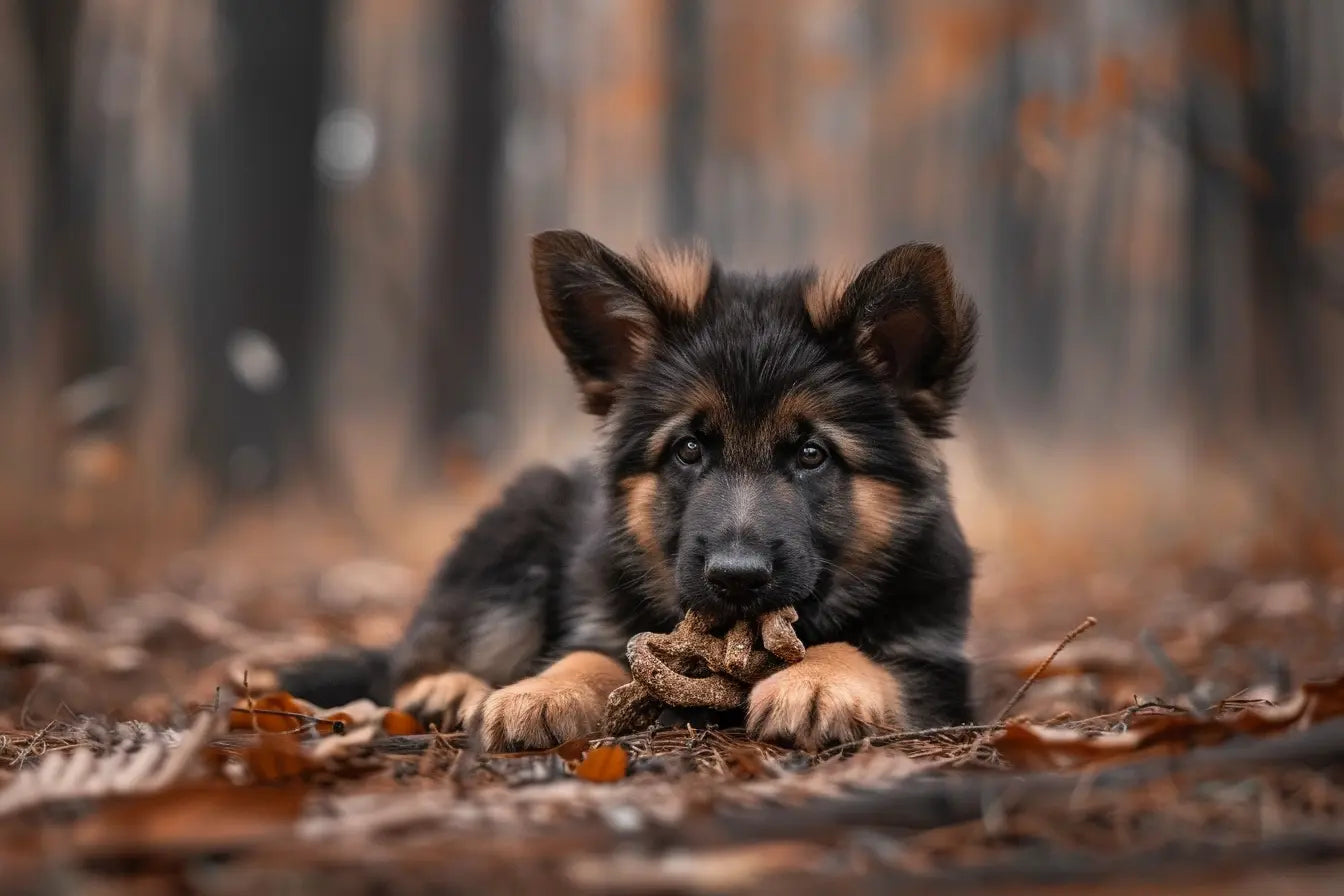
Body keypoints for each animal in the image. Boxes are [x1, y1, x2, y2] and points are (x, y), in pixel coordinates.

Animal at [280, 229, 978, 752]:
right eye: (689, 450)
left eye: (812, 455)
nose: (736, 578)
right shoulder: (600, 623)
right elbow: (588, 655)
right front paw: (543, 690)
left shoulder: (938, 667)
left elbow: (862, 651)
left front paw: (820, 680)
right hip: (514, 540)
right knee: (412, 659)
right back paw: (447, 688)